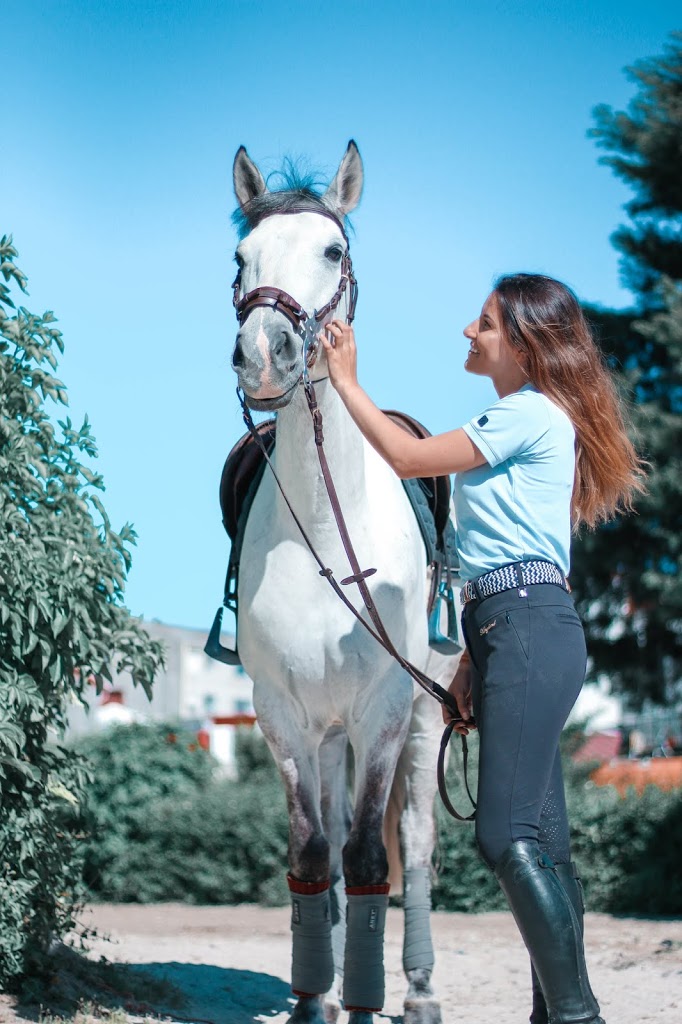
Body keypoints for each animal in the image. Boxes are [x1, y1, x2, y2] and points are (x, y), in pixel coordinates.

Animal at [229, 142, 462, 1024]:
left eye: (332, 250)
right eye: (242, 257)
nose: (265, 353)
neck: (326, 535)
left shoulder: (385, 712)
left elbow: (368, 857)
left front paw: (365, 999)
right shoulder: (283, 715)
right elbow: (312, 853)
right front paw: (312, 999)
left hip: (426, 722)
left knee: (418, 844)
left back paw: (420, 990)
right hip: (328, 737)